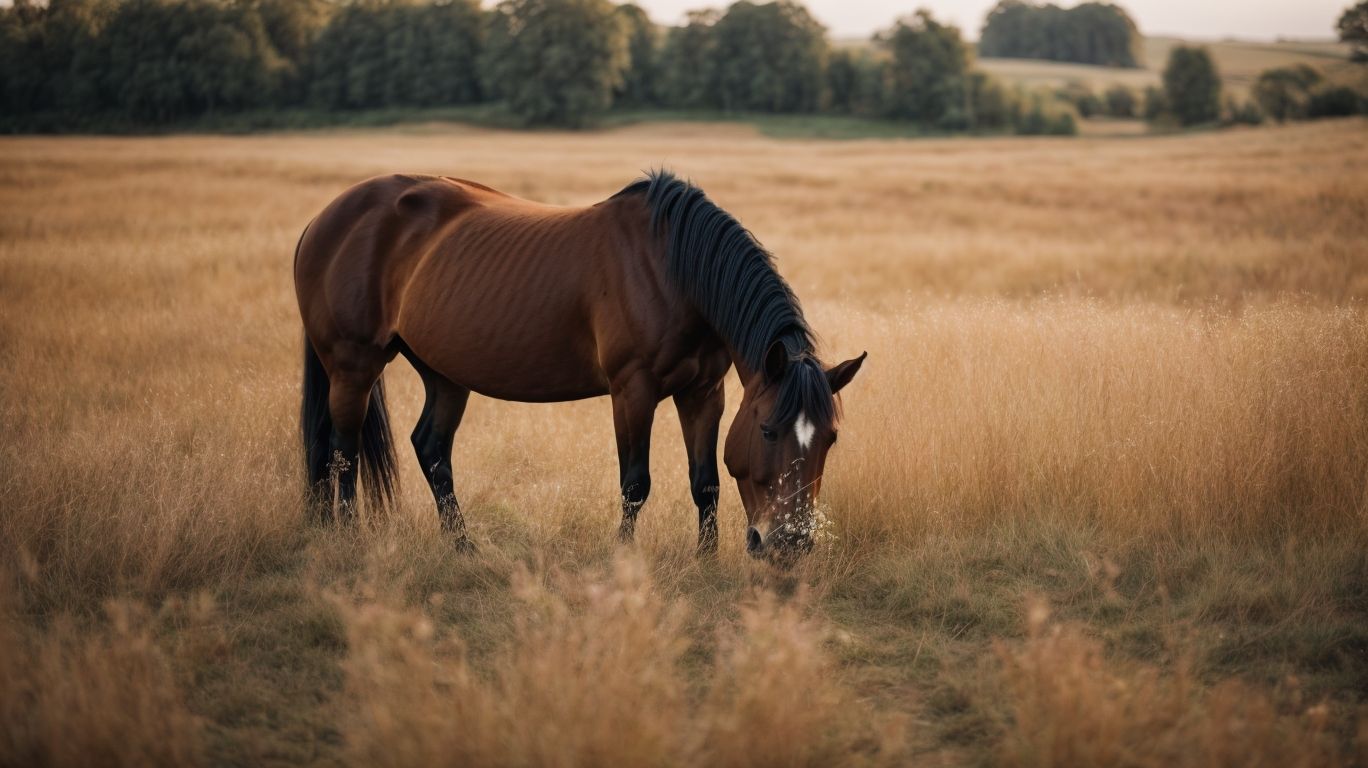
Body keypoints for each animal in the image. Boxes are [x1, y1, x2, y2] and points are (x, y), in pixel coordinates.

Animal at [294, 170, 865, 560]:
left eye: (832, 438)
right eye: (768, 431)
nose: (791, 543)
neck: (674, 271)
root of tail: (324, 219)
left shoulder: (705, 391)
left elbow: (705, 481)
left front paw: (707, 562)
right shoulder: (632, 390)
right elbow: (635, 483)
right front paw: (624, 557)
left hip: (445, 375)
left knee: (430, 449)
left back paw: (462, 546)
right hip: (353, 366)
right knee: (343, 452)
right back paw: (349, 538)